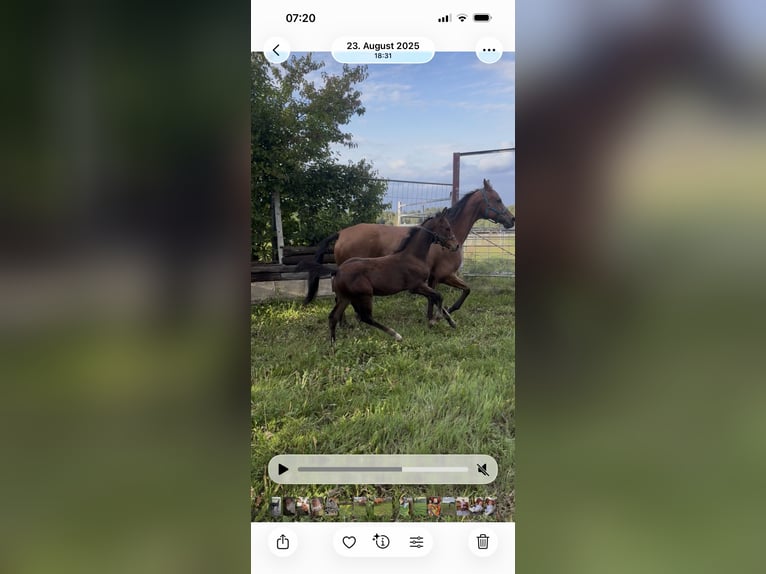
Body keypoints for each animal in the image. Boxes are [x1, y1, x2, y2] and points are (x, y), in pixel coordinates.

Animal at [300, 211, 459, 343]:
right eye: (447, 228)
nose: (456, 245)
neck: (413, 256)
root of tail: (337, 270)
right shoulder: (416, 287)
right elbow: (438, 296)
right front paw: (435, 320)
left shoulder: (422, 286)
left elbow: (437, 297)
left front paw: (450, 322)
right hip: (365, 295)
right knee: (365, 317)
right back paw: (396, 335)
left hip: (346, 297)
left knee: (333, 316)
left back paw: (334, 345)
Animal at [304, 179, 514, 322]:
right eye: (498, 199)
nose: (511, 220)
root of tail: (341, 233)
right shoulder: (442, 275)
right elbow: (444, 296)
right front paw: (440, 315)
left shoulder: (438, 278)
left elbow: (464, 289)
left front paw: (444, 312)